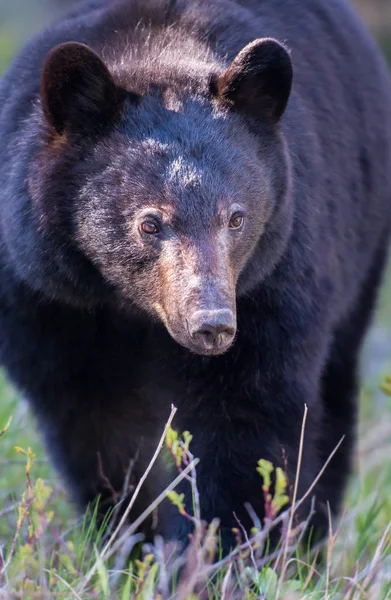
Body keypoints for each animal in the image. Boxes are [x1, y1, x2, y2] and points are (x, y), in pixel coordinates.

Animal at [0, 0, 391, 552]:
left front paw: (221, 549)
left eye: (237, 217)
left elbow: (244, 419)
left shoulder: (273, 282)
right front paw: (131, 538)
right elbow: (98, 428)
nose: (212, 324)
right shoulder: (45, 302)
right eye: (149, 222)